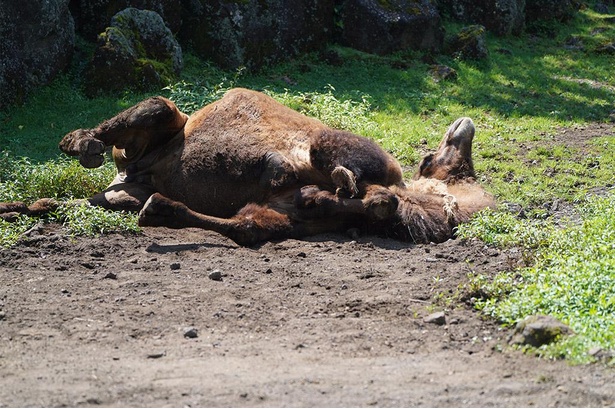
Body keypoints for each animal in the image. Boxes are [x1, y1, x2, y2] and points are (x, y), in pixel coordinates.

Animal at [0, 87, 494, 244]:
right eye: (438, 159)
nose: (463, 126)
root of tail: (127, 176)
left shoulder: (288, 212)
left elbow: (252, 226)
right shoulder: (334, 146)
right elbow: (331, 161)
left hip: (120, 193)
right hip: (158, 127)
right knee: (148, 110)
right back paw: (81, 144)